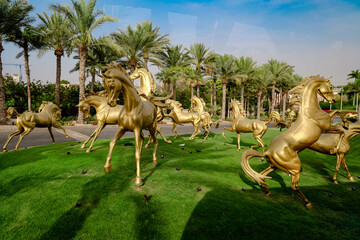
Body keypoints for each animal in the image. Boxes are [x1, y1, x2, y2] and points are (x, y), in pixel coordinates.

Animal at [242, 75, 348, 208]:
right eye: (331, 86)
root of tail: (268, 151)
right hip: (295, 168)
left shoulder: (328, 126)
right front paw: (336, 147)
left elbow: (337, 115)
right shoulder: (326, 128)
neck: (310, 111)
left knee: (263, 174)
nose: (334, 100)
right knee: (294, 186)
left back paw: (267, 192)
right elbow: (341, 128)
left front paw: (346, 123)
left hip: (274, 166)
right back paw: (308, 203)